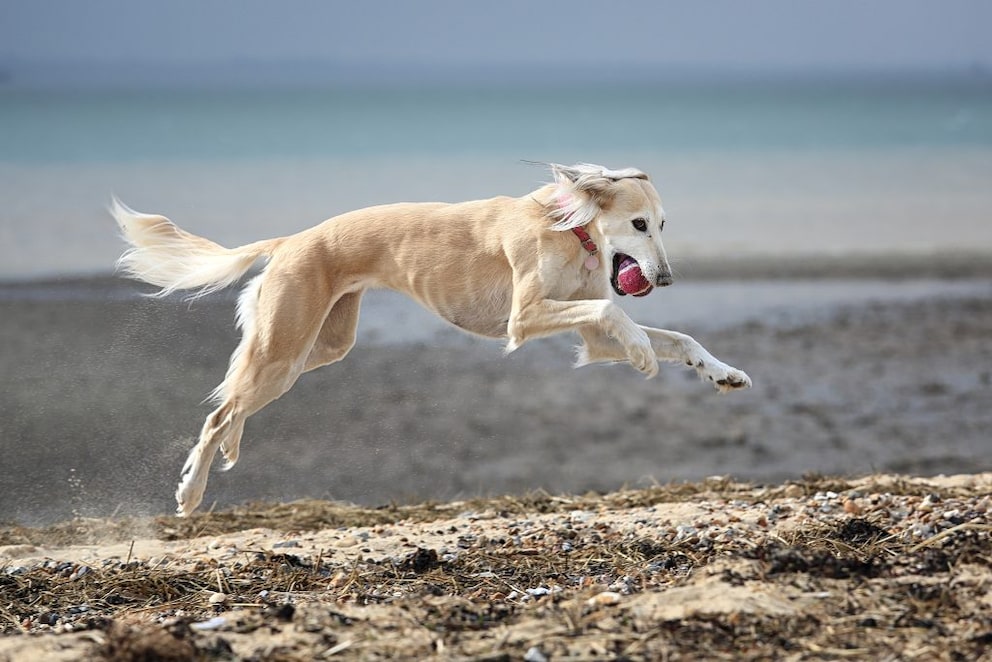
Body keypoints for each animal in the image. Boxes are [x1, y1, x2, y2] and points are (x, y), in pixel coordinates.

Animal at [114, 163, 752, 516]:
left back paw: (225, 452)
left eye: (662, 225)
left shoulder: (591, 336)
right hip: (284, 350)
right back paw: (190, 492)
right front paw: (643, 353)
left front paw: (720, 372)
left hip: (318, 347)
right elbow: (617, 315)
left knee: (231, 401)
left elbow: (674, 335)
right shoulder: (526, 318)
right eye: (638, 224)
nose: (664, 279)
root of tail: (293, 239)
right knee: (219, 410)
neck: (569, 227)